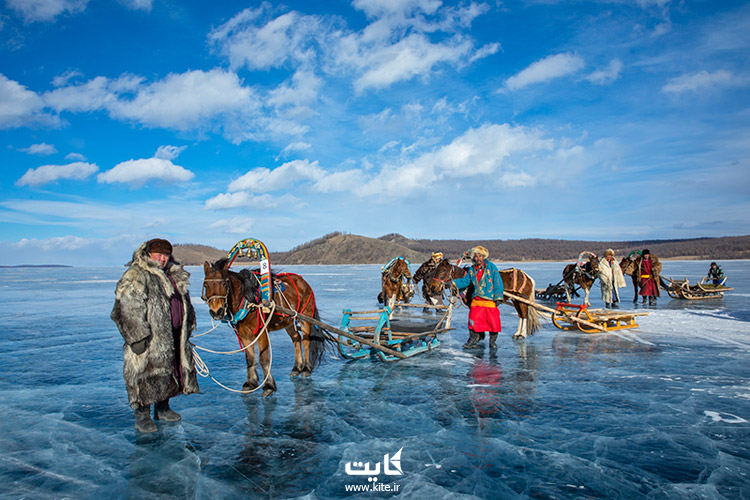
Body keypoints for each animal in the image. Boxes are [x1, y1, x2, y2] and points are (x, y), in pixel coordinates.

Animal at [204, 260, 336, 396]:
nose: (216, 311)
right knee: (296, 338)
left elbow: (264, 359)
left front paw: (269, 386)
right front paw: (250, 383)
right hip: (288, 321)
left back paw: (306, 369)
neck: (248, 299)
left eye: (224, 283)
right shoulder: (243, 333)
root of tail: (303, 282)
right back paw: (296, 367)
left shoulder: (261, 331)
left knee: (306, 341)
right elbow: (249, 358)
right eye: (205, 285)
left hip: (305, 317)